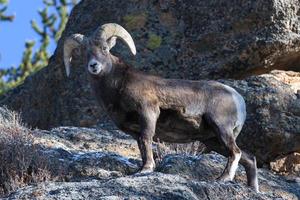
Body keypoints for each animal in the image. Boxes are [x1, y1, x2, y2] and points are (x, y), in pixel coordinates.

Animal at [64, 22, 258, 191]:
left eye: (104, 49)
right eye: (85, 53)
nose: (93, 66)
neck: (118, 85)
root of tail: (237, 98)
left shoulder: (148, 113)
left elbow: (146, 139)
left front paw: (147, 169)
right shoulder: (133, 130)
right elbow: (141, 146)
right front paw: (141, 168)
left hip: (221, 129)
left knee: (236, 152)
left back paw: (223, 178)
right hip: (213, 140)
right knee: (249, 159)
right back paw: (252, 189)